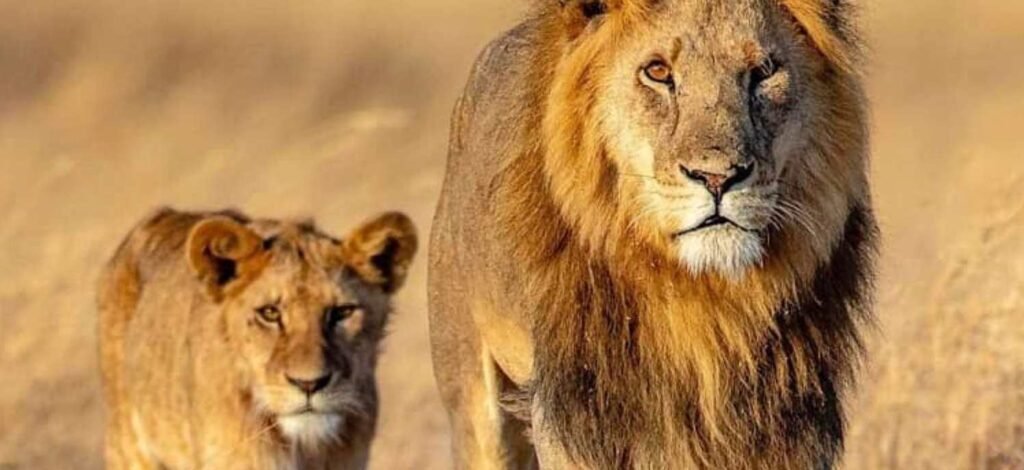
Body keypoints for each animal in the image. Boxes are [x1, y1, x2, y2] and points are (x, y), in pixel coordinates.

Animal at [428, 0, 877, 468]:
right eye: (658, 72)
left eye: (764, 71)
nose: (718, 178)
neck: (703, 299)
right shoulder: (575, 416)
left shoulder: (788, 415)